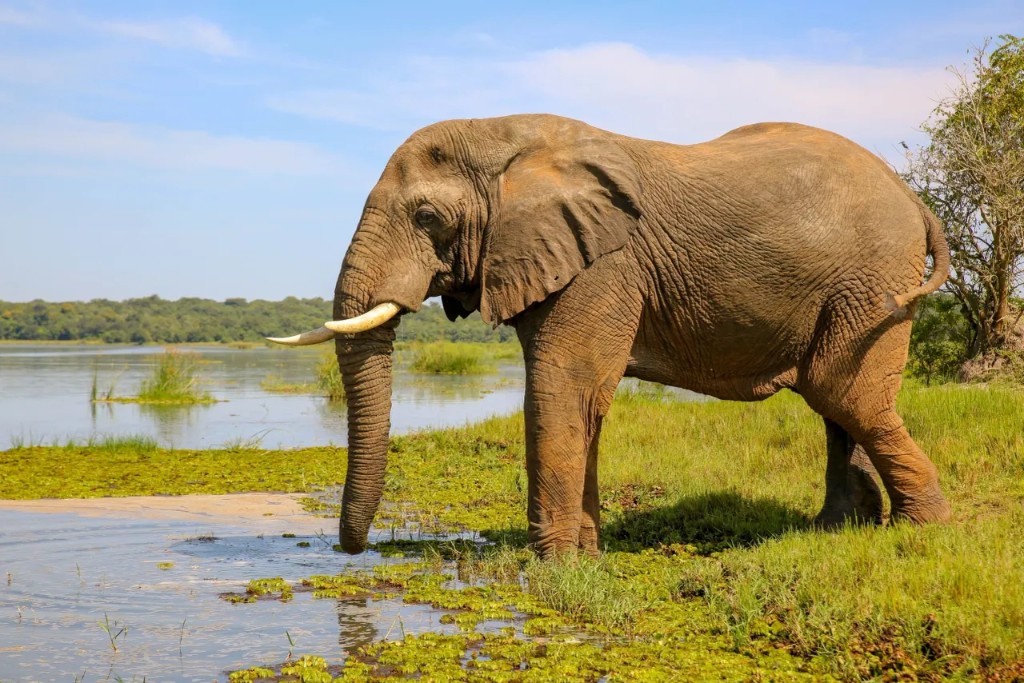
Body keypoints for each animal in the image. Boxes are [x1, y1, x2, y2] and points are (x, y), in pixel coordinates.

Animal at [271, 114, 951, 558]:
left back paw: (921, 532)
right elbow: (588, 400)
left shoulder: (603, 264)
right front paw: (585, 557)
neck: (504, 136)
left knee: (842, 391)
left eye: (428, 217)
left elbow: (560, 393)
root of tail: (915, 199)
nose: (353, 552)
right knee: (836, 403)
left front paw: (549, 567)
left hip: (873, 282)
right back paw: (837, 531)